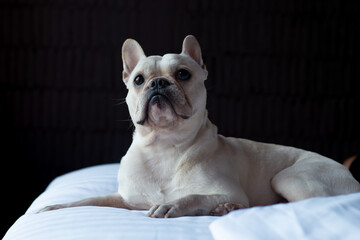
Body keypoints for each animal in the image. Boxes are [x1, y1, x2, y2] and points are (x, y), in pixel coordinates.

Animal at [40, 35, 360, 218]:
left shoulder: (226, 190)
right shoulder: (126, 200)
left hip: (290, 178)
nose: (158, 83)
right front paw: (53, 208)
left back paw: (227, 209)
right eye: (139, 80)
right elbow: (88, 200)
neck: (164, 145)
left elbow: (193, 196)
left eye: (183, 74)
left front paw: (172, 206)